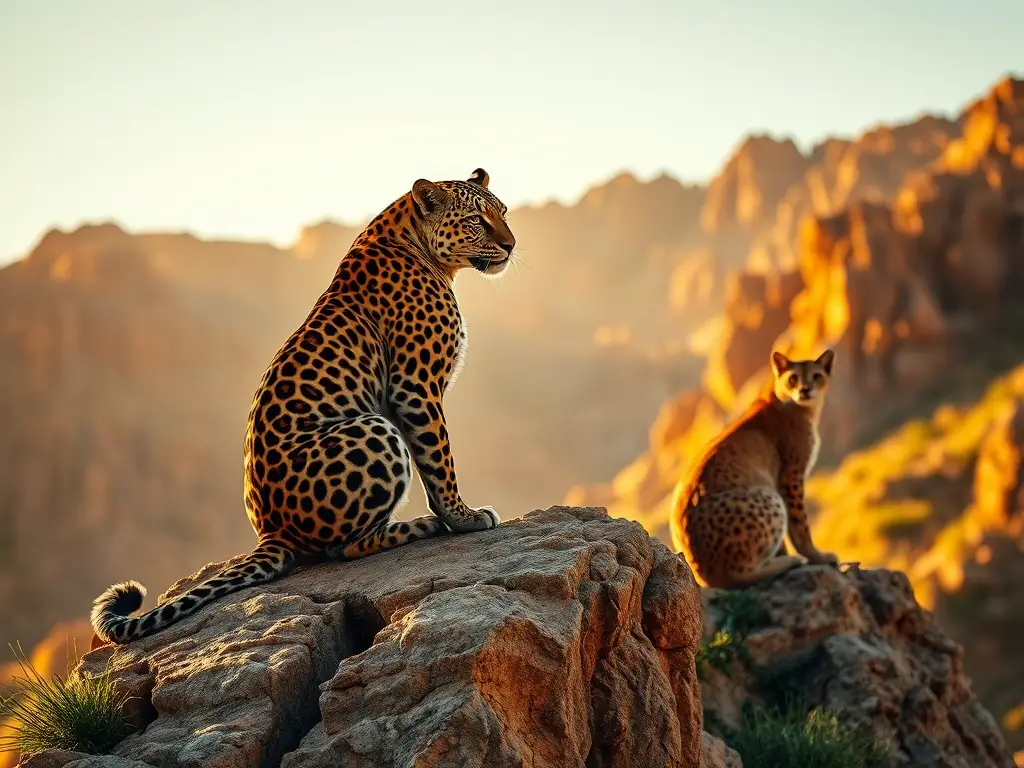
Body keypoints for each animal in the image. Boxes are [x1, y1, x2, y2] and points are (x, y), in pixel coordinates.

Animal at [91, 168, 516, 644]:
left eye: (503, 213)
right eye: (477, 220)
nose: (511, 244)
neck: (418, 245)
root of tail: (270, 530)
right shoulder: (414, 386)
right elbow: (440, 460)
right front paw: (464, 517)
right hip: (374, 430)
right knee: (342, 547)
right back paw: (418, 527)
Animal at [669, 348, 840, 589]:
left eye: (816, 376)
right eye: (793, 378)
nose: (805, 389)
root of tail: (704, 573)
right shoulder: (791, 477)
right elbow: (800, 525)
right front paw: (817, 557)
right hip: (766, 495)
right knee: (740, 574)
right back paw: (788, 562)